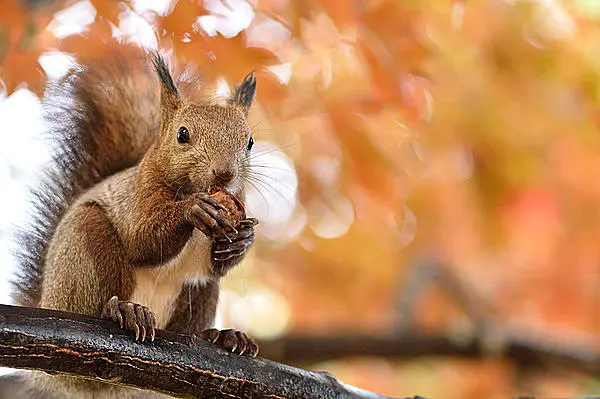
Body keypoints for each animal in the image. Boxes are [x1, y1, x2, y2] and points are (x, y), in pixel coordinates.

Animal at [9, 44, 260, 399]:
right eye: (182, 134)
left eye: (249, 142)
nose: (224, 174)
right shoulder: (138, 196)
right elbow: (142, 240)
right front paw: (193, 209)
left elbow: (218, 264)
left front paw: (241, 240)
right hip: (85, 247)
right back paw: (125, 311)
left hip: (199, 292)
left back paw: (221, 337)